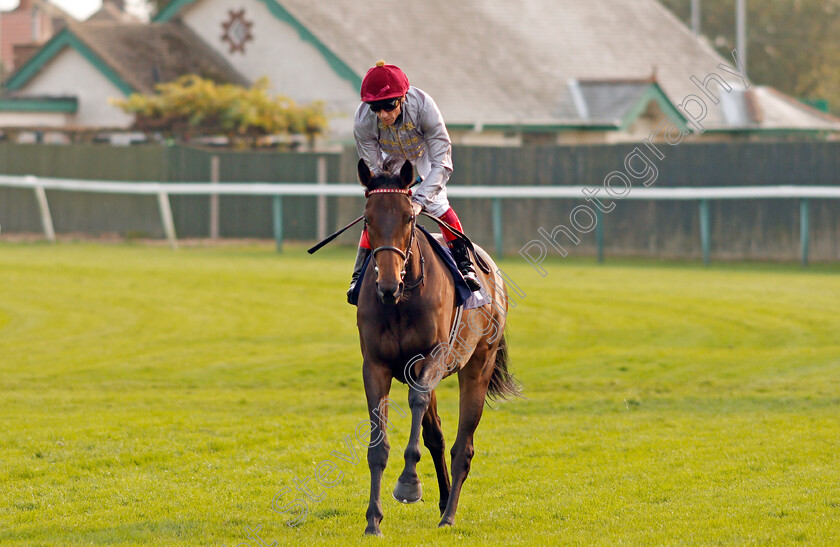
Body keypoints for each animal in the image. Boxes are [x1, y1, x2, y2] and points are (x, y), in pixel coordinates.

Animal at [354, 158, 520, 536]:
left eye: (408, 218)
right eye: (368, 219)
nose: (387, 284)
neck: (401, 300)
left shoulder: (433, 357)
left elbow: (417, 405)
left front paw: (408, 483)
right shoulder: (376, 365)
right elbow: (378, 441)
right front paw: (373, 519)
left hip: (478, 365)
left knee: (463, 446)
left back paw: (449, 514)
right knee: (437, 434)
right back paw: (444, 502)